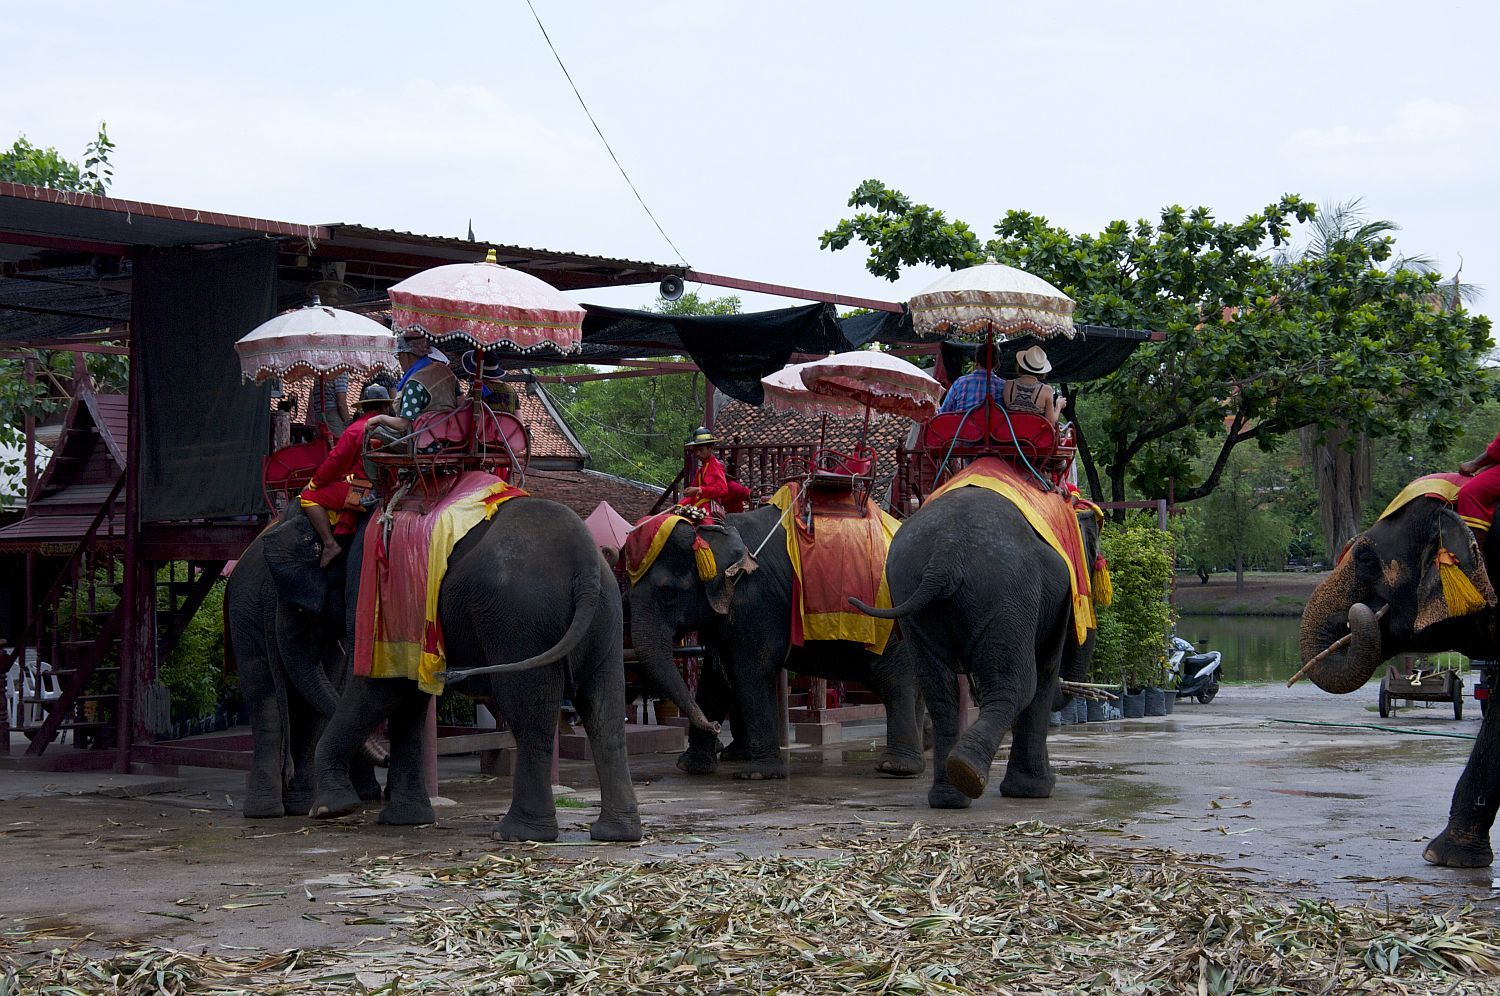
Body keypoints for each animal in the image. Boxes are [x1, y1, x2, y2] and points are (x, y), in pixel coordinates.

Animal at [226, 501, 384, 822]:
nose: (385, 755)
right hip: (244, 615)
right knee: (270, 700)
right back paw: (279, 810)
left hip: (244, 614)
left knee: (270, 699)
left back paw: (281, 809)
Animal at [304, 498, 714, 840]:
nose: (382, 757)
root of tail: (584, 562)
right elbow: (408, 694)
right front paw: (402, 819)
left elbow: (383, 686)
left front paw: (330, 809)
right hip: (604, 616)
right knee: (604, 709)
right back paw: (616, 834)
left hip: (519, 618)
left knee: (529, 711)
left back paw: (516, 833)